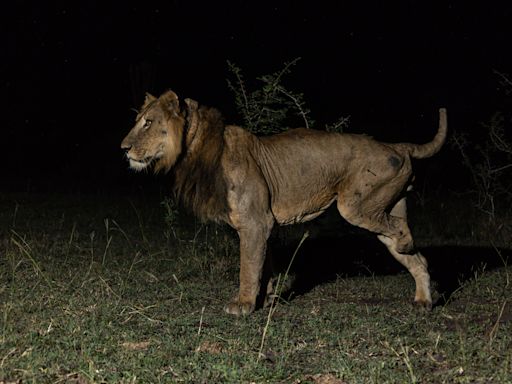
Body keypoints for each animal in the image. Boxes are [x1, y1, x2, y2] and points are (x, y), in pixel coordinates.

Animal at [122, 90, 446, 316]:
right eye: (138, 121)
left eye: (148, 123)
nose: (123, 148)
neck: (195, 150)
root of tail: (395, 145)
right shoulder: (262, 224)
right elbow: (263, 265)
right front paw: (264, 300)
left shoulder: (255, 222)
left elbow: (248, 266)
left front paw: (242, 304)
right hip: (384, 206)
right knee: (418, 258)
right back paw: (423, 300)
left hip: (355, 206)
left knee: (401, 232)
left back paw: (407, 245)